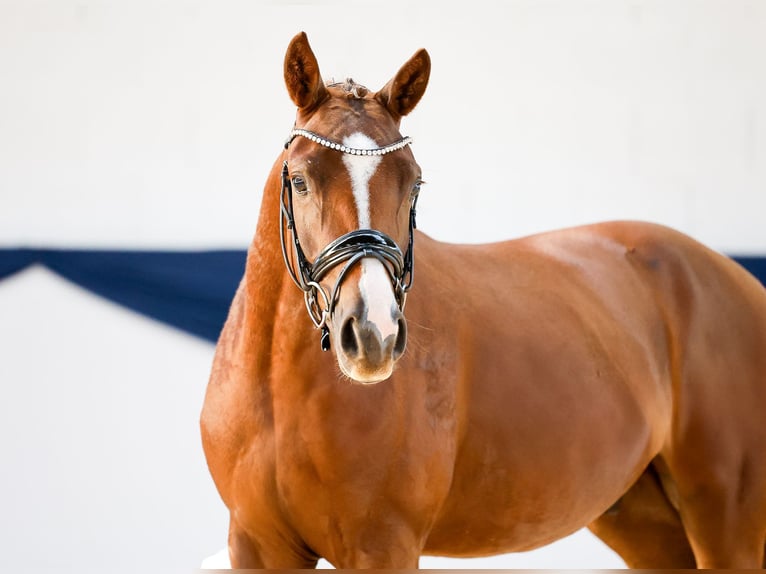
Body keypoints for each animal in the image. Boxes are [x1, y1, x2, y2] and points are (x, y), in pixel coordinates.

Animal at [201, 32, 766, 572]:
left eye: (414, 183)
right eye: (299, 179)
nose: (373, 333)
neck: (277, 391)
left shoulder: (382, 545)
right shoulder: (256, 546)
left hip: (728, 526)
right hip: (646, 525)